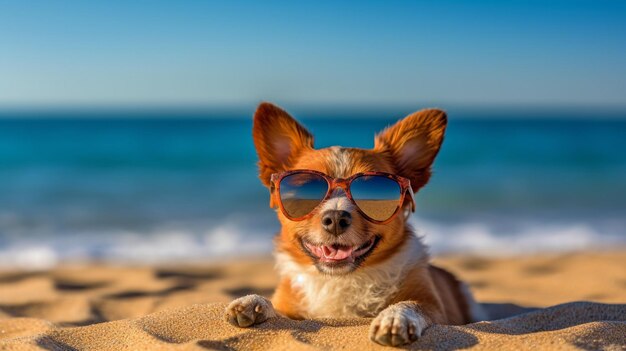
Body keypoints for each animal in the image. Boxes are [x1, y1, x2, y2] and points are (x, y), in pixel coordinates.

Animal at [224, 103, 482, 348]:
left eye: (373, 192)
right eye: (307, 189)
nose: (336, 218)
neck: (340, 279)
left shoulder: (436, 308)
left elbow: (411, 304)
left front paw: (395, 318)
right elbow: (277, 309)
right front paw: (253, 301)